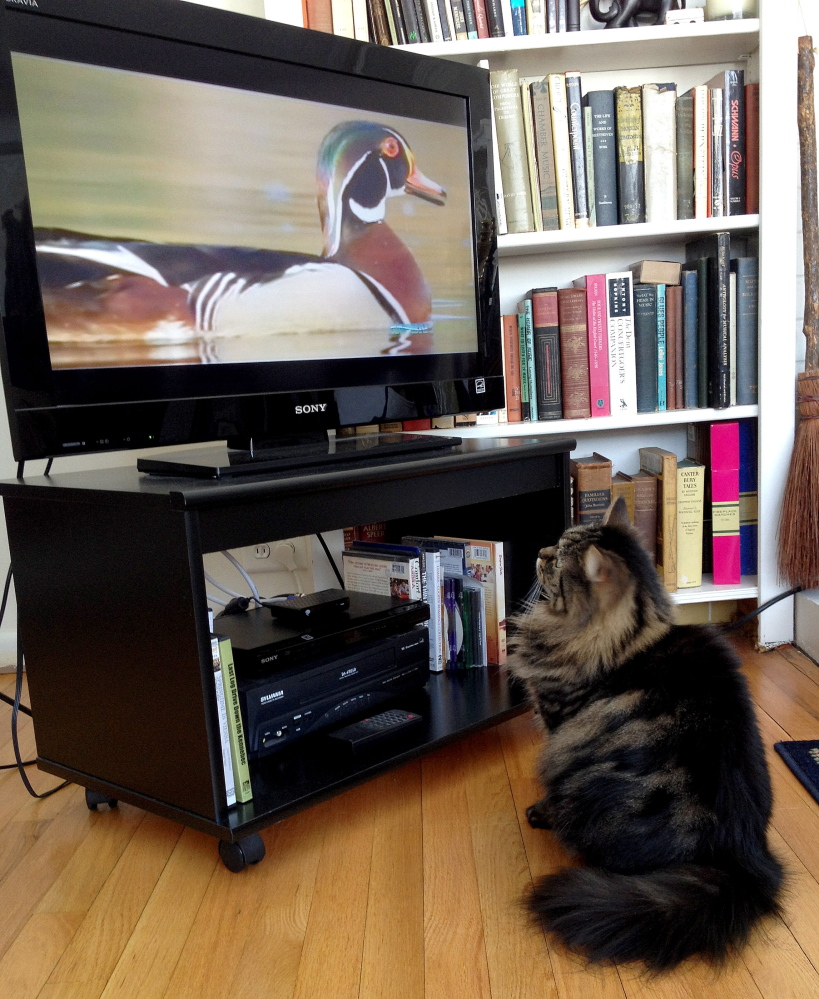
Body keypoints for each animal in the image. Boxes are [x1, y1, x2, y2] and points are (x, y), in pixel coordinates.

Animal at [510, 500, 784, 968]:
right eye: (555, 545)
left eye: (558, 560)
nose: (539, 553)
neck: (626, 639)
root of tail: (744, 859)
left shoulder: (558, 723)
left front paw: (539, 810)